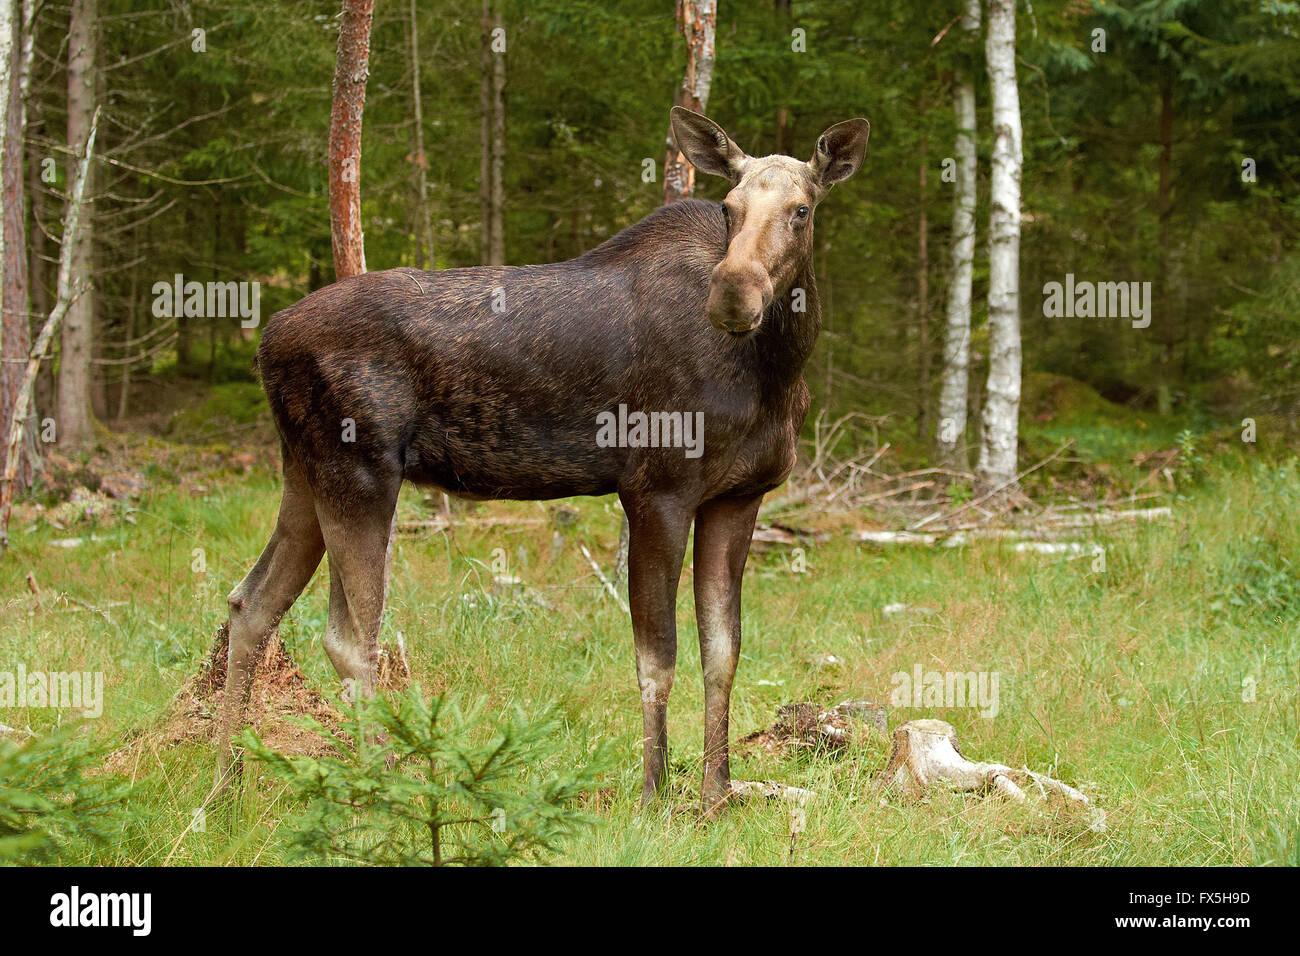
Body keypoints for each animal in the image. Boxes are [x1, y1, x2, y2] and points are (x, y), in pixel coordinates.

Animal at [218, 110, 868, 816]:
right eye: (730, 206)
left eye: (802, 209)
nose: (732, 292)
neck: (774, 375)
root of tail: (264, 341)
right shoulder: (657, 490)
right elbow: (657, 658)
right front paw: (653, 796)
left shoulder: (739, 496)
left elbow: (723, 652)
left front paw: (717, 795)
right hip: (359, 472)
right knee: (349, 638)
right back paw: (383, 790)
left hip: (304, 472)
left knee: (250, 603)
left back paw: (225, 789)